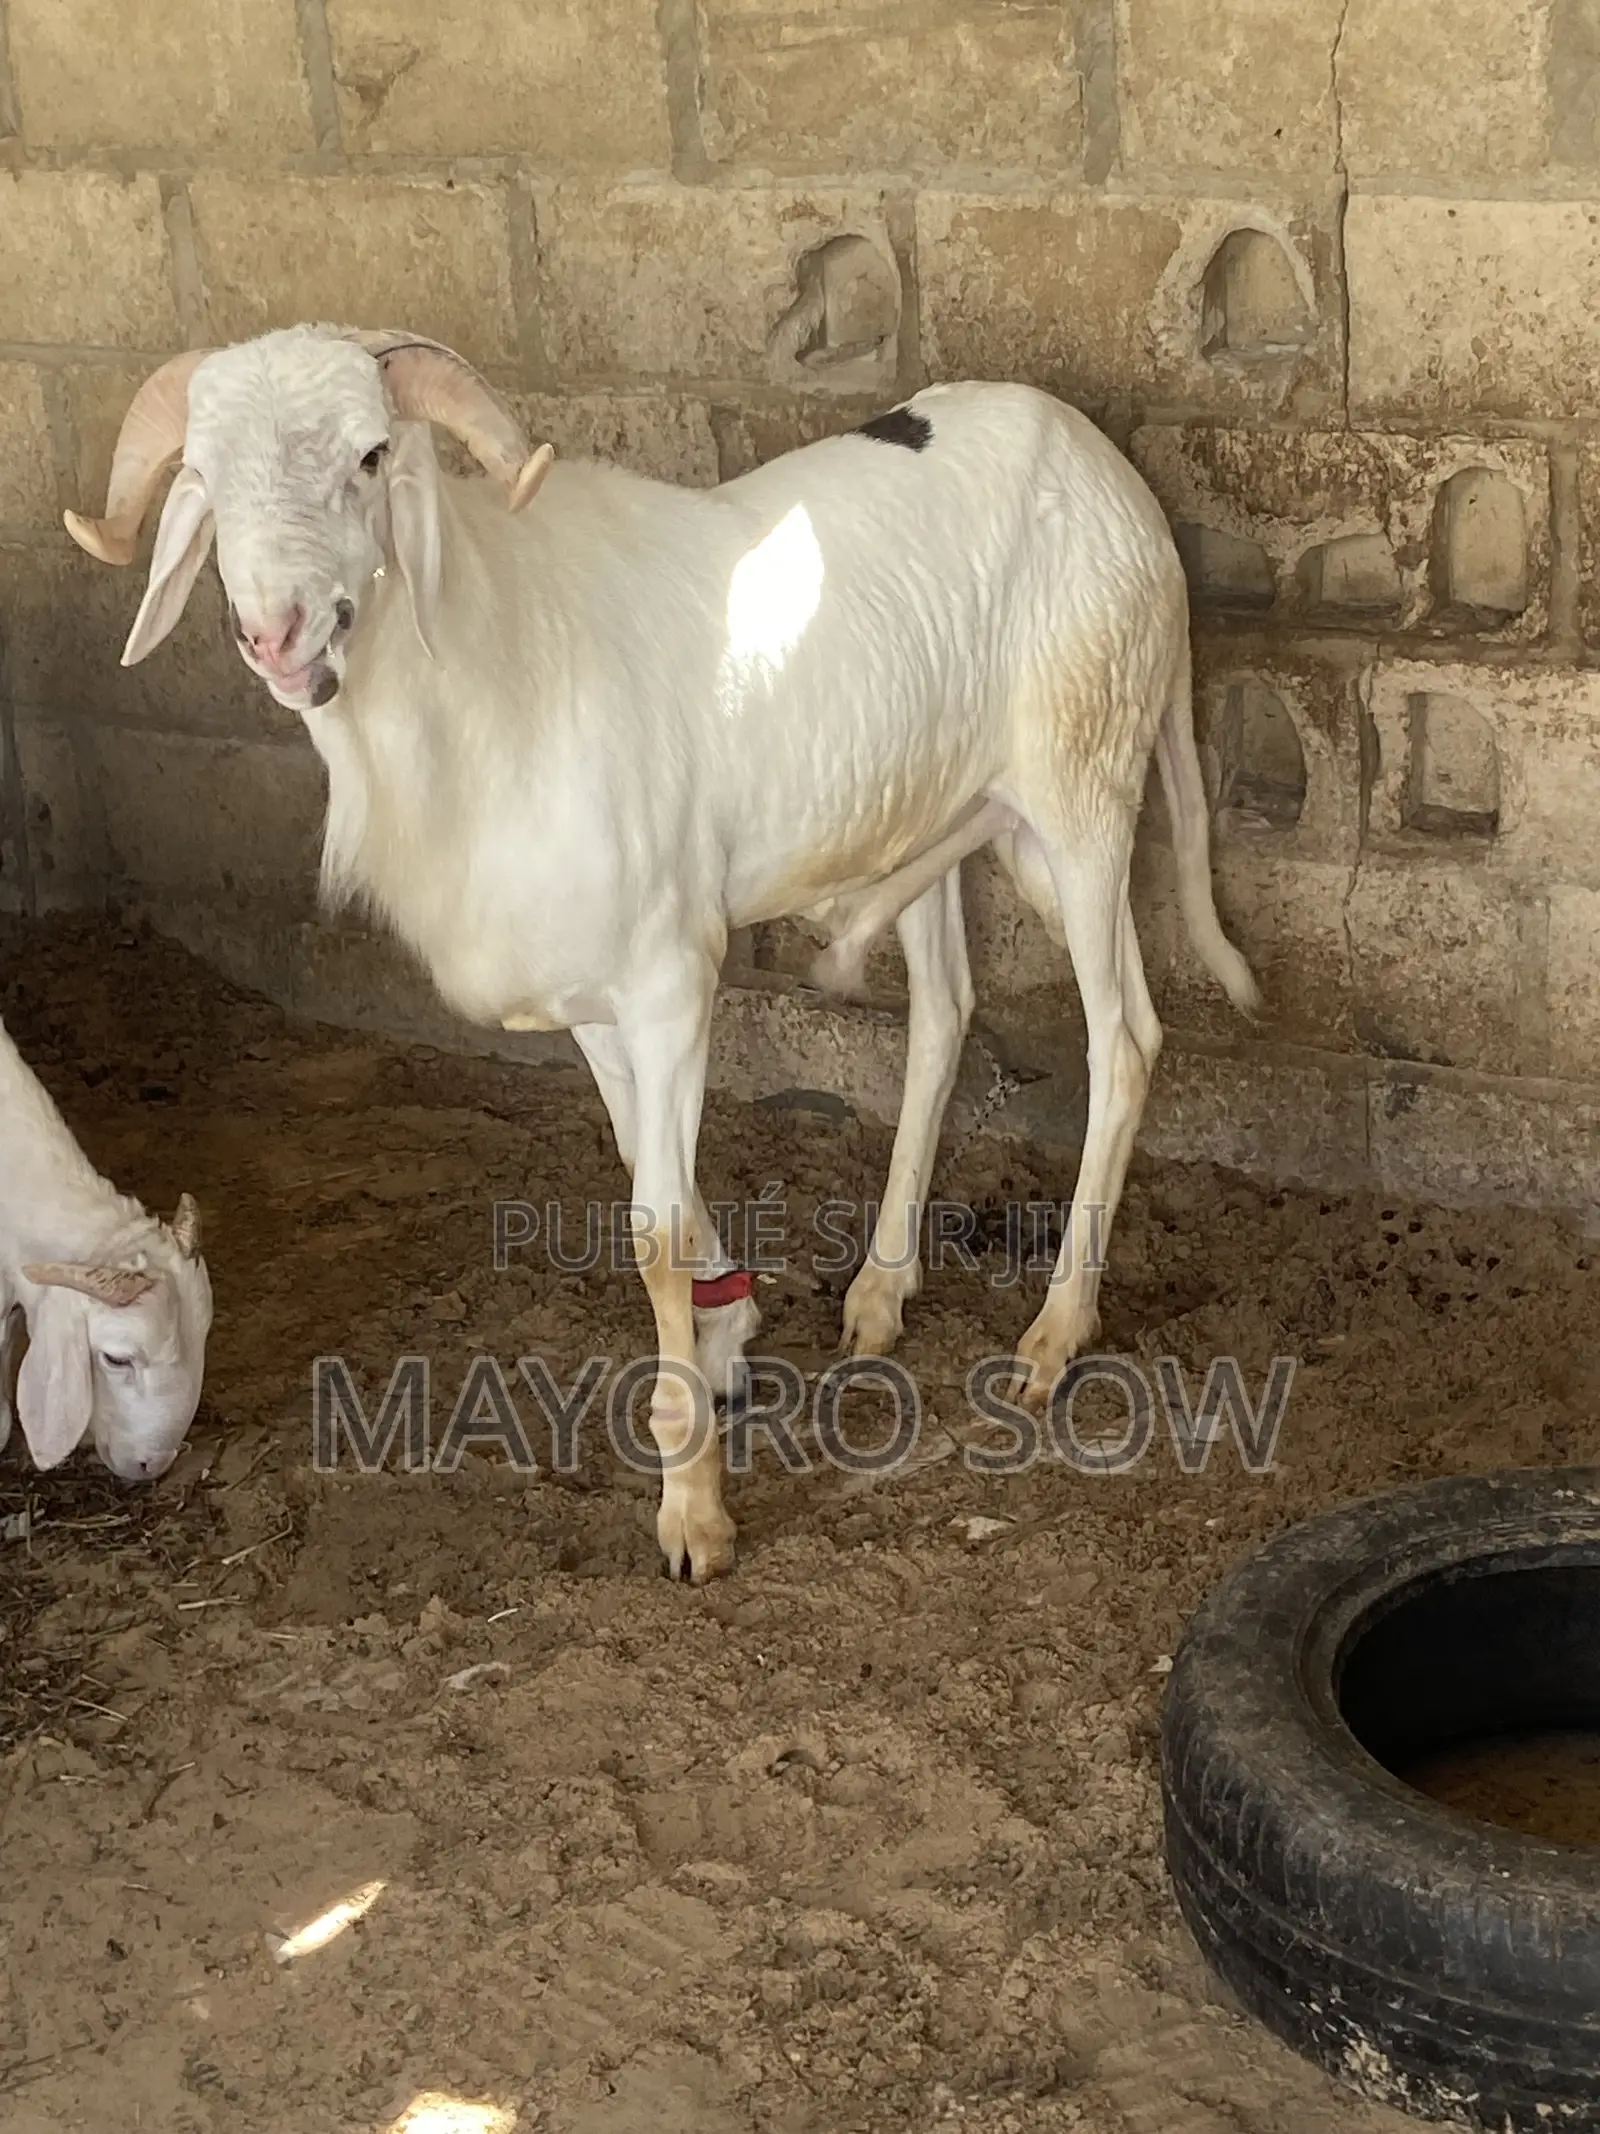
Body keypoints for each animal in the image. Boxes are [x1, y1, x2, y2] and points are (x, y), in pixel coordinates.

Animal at [68, 323, 1259, 1581]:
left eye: (371, 455)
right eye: (201, 475)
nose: (277, 633)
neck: (491, 676)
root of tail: (1112, 474)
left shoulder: (671, 978)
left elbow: (653, 1230)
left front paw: (694, 1507)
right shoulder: (598, 1002)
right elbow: (658, 1181)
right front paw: (725, 1333)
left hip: (1080, 793)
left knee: (1124, 1037)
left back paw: (1055, 1331)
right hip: (927, 813)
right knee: (944, 1014)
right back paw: (881, 1292)